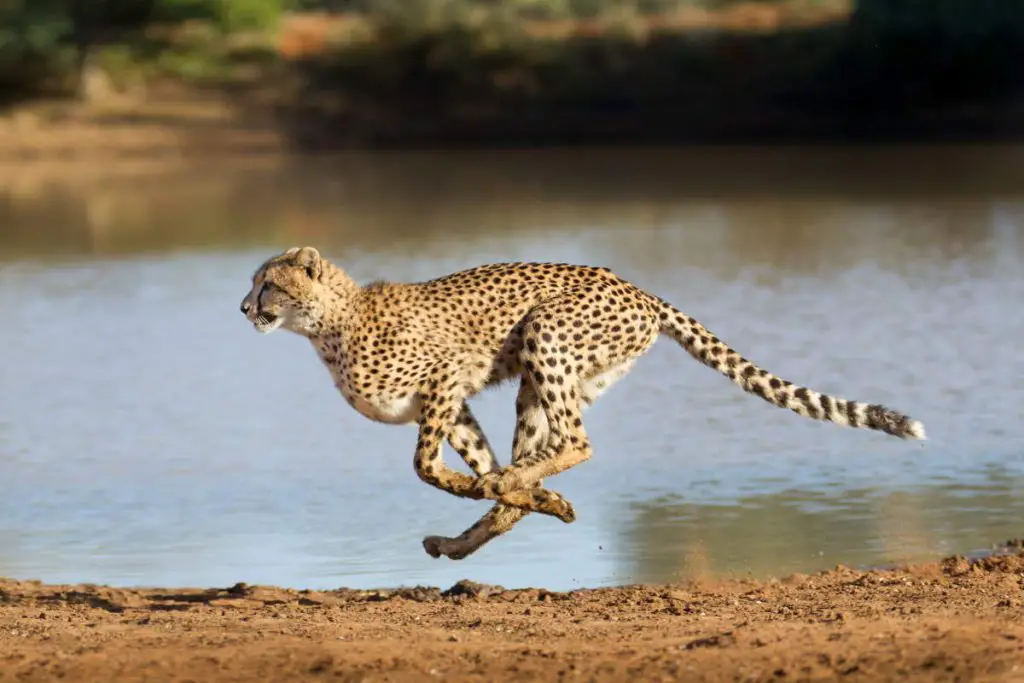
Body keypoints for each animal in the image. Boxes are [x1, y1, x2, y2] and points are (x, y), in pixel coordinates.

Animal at [239, 245, 929, 561]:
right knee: (551, 449)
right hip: (552, 379)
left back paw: (514, 491)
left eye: (268, 283)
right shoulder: (453, 401)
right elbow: (475, 464)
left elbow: (426, 466)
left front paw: (491, 487)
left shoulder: (446, 377)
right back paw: (493, 521)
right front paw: (520, 497)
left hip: (545, 334)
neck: (327, 325)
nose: (244, 307)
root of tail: (638, 288)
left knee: (577, 442)